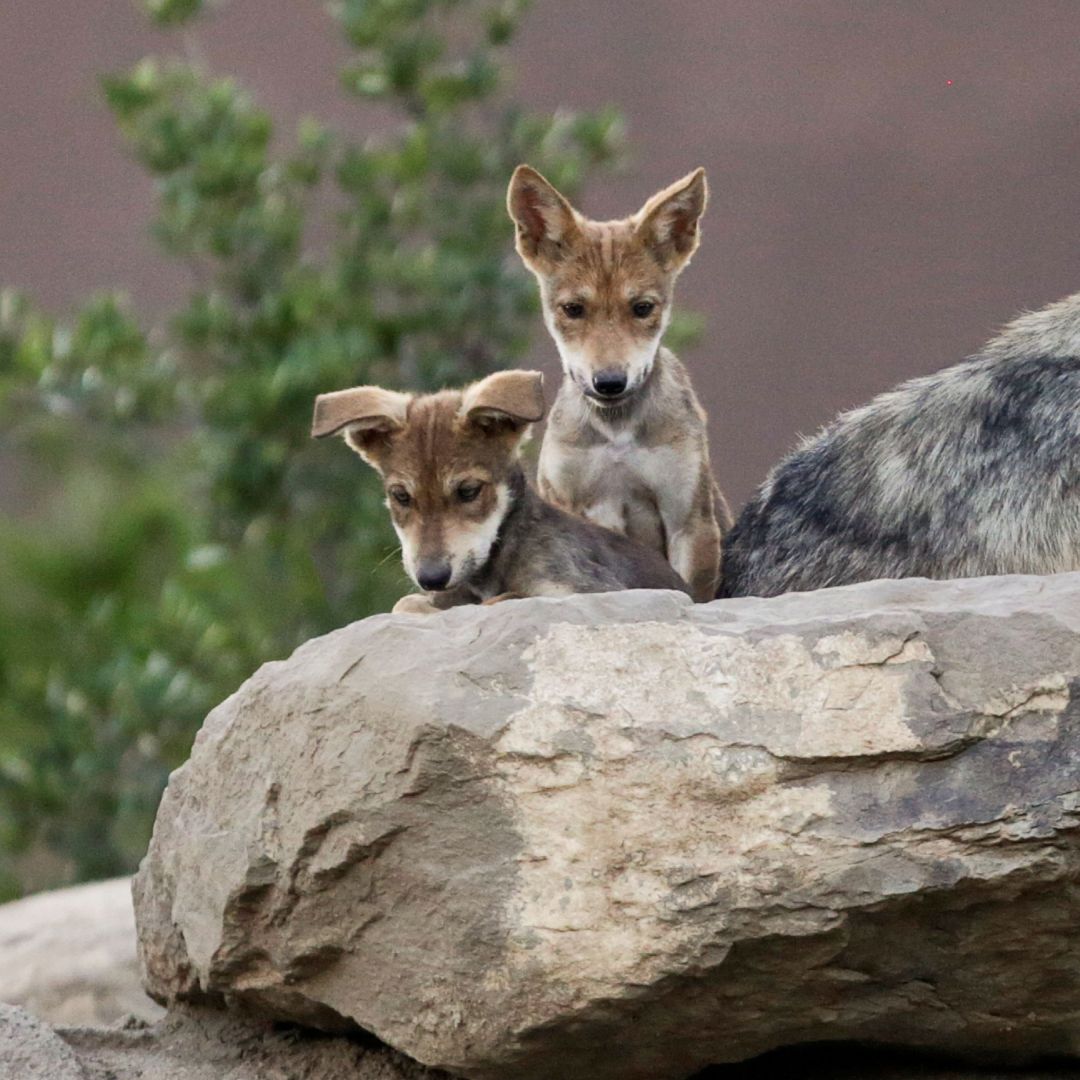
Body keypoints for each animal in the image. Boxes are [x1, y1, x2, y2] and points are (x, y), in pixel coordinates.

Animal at [312, 369, 690, 614]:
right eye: (401, 496)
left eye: (468, 491)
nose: (431, 578)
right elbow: (406, 604)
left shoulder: (585, 590)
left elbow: (501, 600)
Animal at [507, 165, 731, 602]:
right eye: (573, 309)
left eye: (642, 308)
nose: (610, 382)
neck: (617, 437)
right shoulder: (580, 508)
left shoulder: (688, 520)